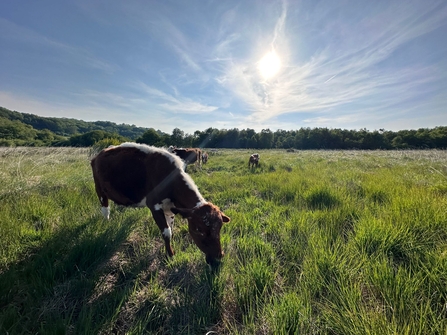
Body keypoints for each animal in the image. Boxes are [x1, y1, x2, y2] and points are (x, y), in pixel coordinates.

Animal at [90, 143, 231, 270]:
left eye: (219, 228)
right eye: (199, 230)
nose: (218, 258)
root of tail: (99, 154)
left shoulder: (170, 209)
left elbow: (170, 230)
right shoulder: (154, 206)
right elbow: (166, 232)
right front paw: (170, 255)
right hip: (99, 189)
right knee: (105, 209)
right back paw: (107, 223)